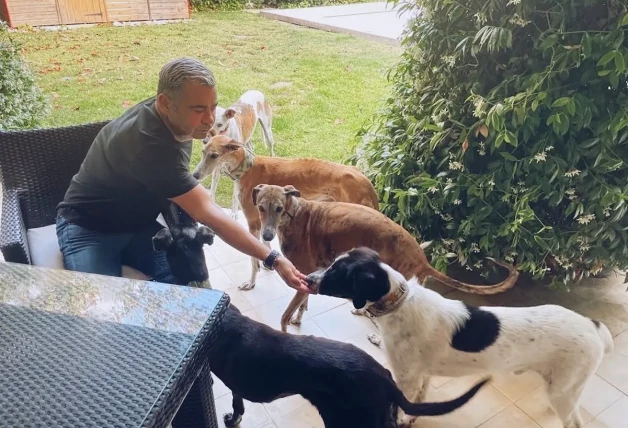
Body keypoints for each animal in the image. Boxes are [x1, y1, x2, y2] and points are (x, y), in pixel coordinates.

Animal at [306, 247, 616, 428]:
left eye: (336, 272)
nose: (308, 278)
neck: (399, 303)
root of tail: (594, 326)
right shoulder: (422, 376)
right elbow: (419, 402)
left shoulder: (406, 378)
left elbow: (405, 403)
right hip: (562, 388)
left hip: (562, 391)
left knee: (574, 421)